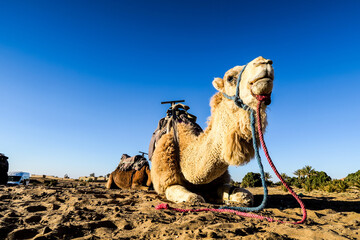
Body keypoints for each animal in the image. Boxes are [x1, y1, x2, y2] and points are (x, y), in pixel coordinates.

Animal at [151, 56, 272, 204]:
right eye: (230, 78)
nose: (264, 62)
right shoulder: (165, 180)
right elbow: (193, 197)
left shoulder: (217, 182)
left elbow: (245, 195)